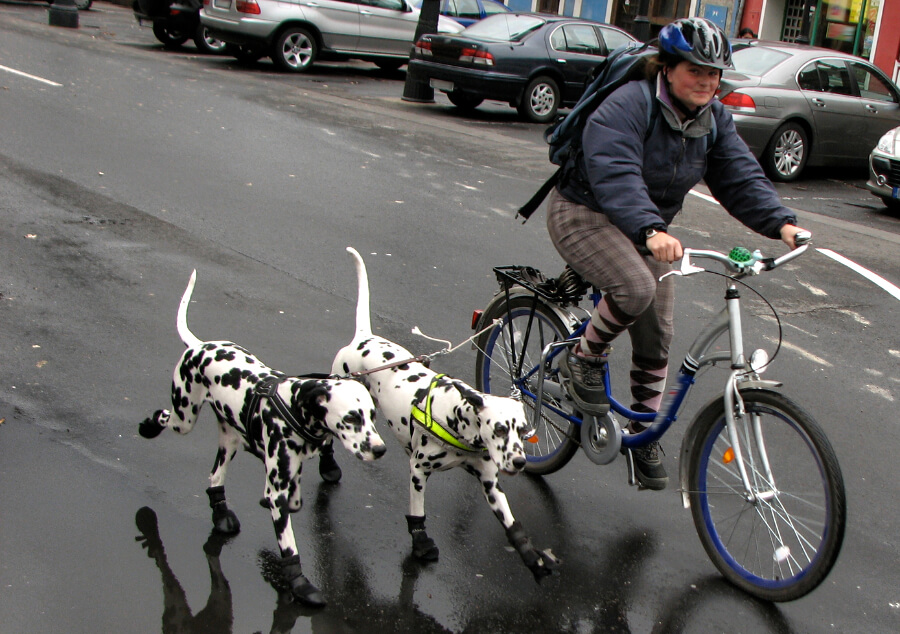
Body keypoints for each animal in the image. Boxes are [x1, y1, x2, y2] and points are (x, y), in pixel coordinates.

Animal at [139, 270, 384, 604]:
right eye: (351, 418)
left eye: (372, 416)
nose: (380, 450)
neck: (293, 406)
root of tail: (199, 346)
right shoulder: (278, 493)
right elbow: (288, 544)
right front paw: (299, 584)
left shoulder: (288, 476)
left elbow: (293, 498)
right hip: (183, 417)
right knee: (167, 418)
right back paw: (149, 426)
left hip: (228, 440)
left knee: (215, 478)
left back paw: (221, 513)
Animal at [330, 246, 556, 576]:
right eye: (500, 429)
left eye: (523, 431)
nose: (519, 462)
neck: (458, 420)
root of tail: (363, 337)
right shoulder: (417, 471)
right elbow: (417, 515)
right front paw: (421, 545)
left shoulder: (490, 483)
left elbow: (513, 526)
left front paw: (533, 559)